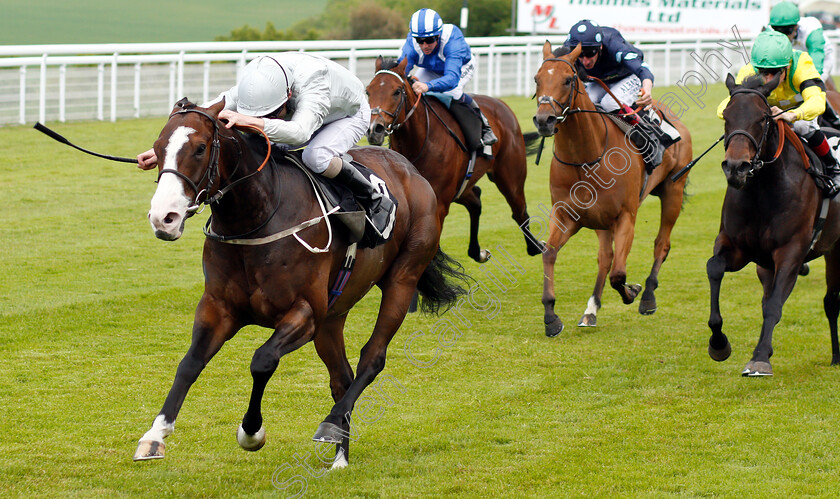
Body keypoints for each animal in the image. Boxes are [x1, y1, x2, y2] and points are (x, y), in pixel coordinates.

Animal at [134, 97, 470, 464]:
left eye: (199, 148)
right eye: (157, 148)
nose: (163, 218)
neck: (258, 217)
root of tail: (410, 170)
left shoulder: (305, 312)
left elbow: (262, 360)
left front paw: (252, 432)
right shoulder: (218, 307)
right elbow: (189, 364)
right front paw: (155, 435)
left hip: (402, 279)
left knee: (372, 358)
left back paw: (331, 424)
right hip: (333, 315)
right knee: (342, 376)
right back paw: (340, 458)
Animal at [368, 56, 544, 264]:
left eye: (396, 91)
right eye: (368, 91)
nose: (375, 129)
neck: (421, 142)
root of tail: (501, 105)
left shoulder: (439, 205)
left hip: (510, 176)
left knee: (519, 211)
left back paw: (536, 247)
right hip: (463, 184)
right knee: (476, 200)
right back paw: (477, 252)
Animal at [536, 42, 692, 336]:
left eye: (568, 79)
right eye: (536, 79)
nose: (543, 119)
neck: (586, 157)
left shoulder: (625, 217)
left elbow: (619, 273)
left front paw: (633, 291)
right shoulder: (568, 216)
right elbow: (550, 252)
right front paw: (551, 316)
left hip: (673, 191)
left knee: (661, 244)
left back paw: (648, 296)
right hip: (602, 220)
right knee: (605, 257)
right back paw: (591, 310)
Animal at [708, 74, 840, 376]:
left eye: (762, 118)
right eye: (726, 116)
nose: (736, 167)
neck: (763, 190)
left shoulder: (791, 252)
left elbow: (774, 306)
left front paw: (759, 358)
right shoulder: (737, 247)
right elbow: (714, 268)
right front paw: (719, 344)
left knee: (831, 302)